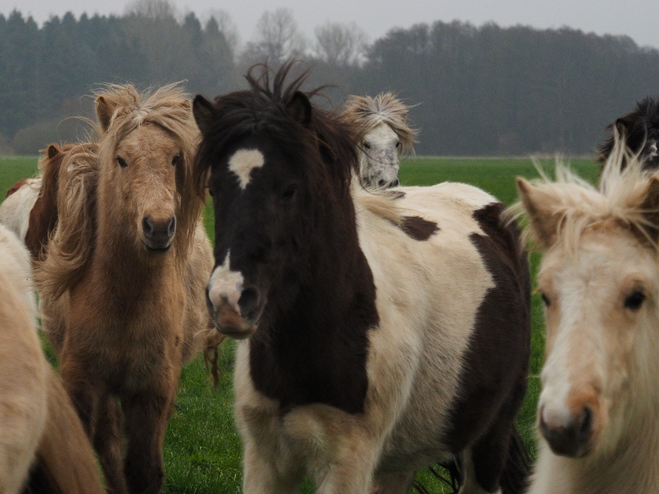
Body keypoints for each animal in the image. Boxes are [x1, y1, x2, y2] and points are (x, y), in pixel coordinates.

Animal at [38, 84, 223, 494]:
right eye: (121, 160)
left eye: (175, 159)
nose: (158, 226)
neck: (126, 303)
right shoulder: (82, 381)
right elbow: (93, 454)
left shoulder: (153, 389)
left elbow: (144, 470)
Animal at [192, 62, 532, 494]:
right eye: (213, 189)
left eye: (290, 189)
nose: (229, 301)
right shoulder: (264, 458)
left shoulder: (347, 461)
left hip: (489, 439)